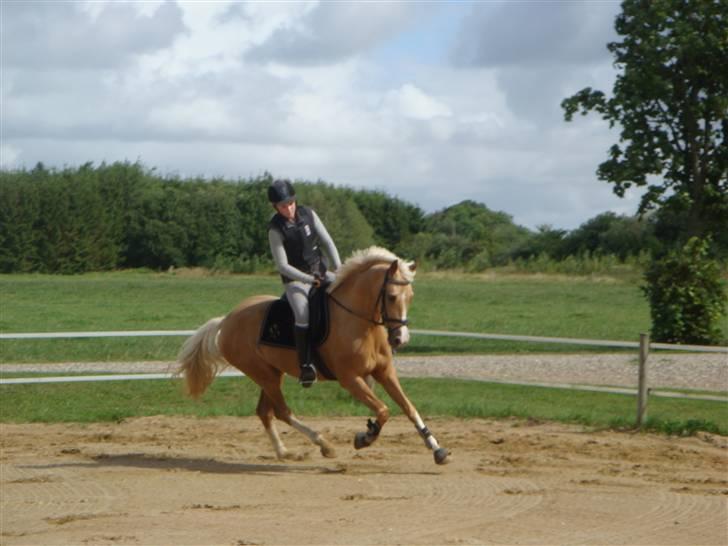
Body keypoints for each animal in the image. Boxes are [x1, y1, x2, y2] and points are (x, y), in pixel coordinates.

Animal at [178, 246, 450, 464]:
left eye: (411, 297)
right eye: (392, 297)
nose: (401, 339)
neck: (360, 322)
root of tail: (227, 320)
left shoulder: (384, 372)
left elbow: (408, 408)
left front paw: (436, 448)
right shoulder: (350, 379)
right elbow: (383, 410)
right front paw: (365, 437)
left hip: (271, 374)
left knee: (265, 412)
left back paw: (284, 452)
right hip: (264, 375)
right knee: (282, 412)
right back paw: (323, 444)